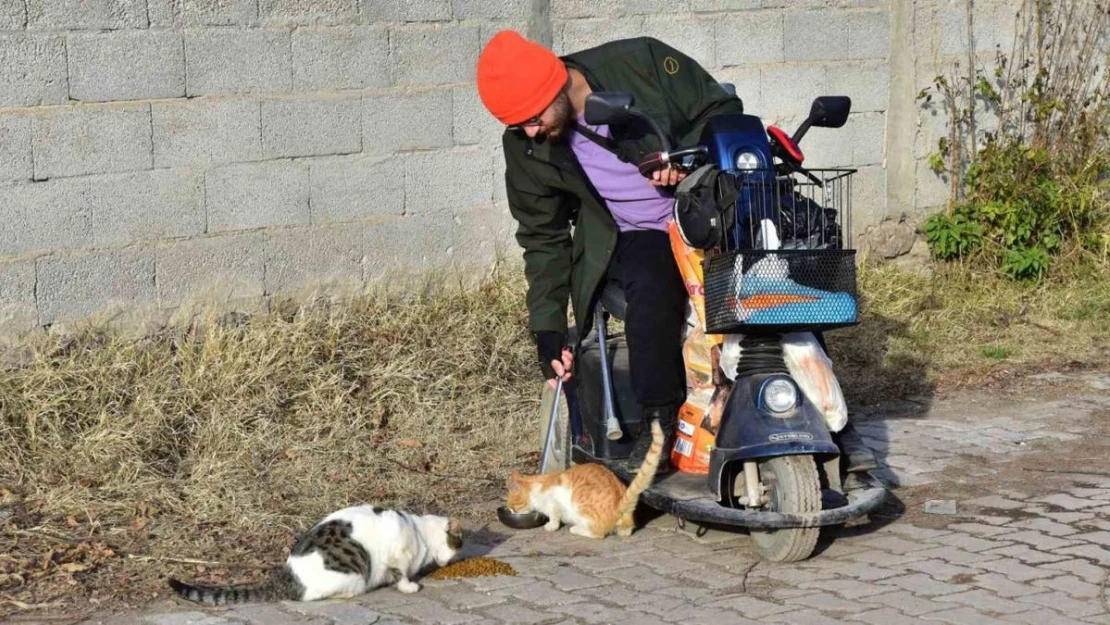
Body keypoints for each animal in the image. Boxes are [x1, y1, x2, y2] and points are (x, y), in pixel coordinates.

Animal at [166, 506, 461, 603]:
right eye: (459, 543)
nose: (451, 560)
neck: (419, 530)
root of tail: (287, 578)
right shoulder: (398, 552)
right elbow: (401, 573)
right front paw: (409, 586)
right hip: (352, 574)